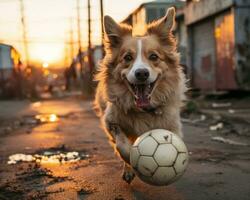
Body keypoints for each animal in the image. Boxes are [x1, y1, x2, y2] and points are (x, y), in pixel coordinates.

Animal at [93, 7, 186, 184]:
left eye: (154, 57)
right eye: (127, 57)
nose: (141, 73)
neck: (143, 110)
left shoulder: (172, 125)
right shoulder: (110, 121)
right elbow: (122, 146)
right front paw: (131, 162)